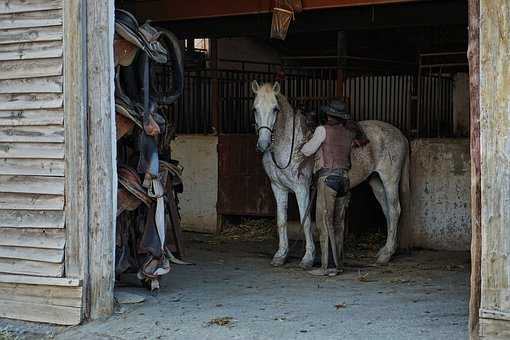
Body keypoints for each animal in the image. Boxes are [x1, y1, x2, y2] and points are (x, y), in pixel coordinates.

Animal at [251, 81, 410, 266]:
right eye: (255, 109)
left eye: (275, 109)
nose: (263, 144)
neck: (290, 144)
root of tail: (400, 135)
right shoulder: (278, 187)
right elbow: (281, 221)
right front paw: (281, 255)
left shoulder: (301, 188)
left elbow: (306, 221)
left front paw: (308, 257)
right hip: (376, 181)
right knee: (387, 211)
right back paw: (386, 251)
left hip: (389, 180)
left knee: (394, 210)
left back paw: (387, 255)